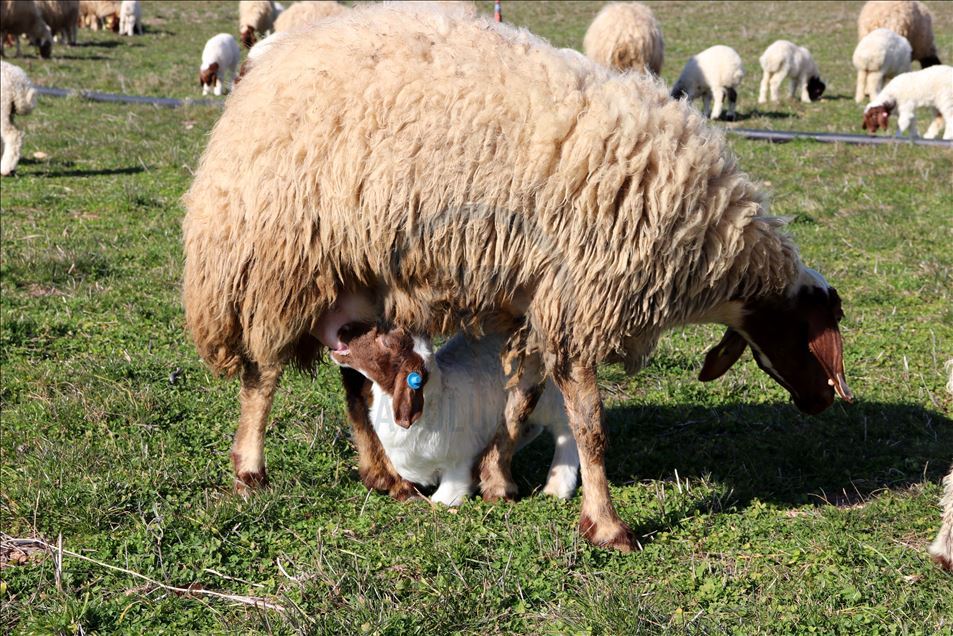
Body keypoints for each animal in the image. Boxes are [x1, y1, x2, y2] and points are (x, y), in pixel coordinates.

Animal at [328, 326, 580, 504]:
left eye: (386, 341)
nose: (342, 330)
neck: (437, 400)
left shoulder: (459, 457)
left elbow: (450, 488)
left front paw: (446, 500)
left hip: (550, 402)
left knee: (566, 433)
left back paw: (558, 488)